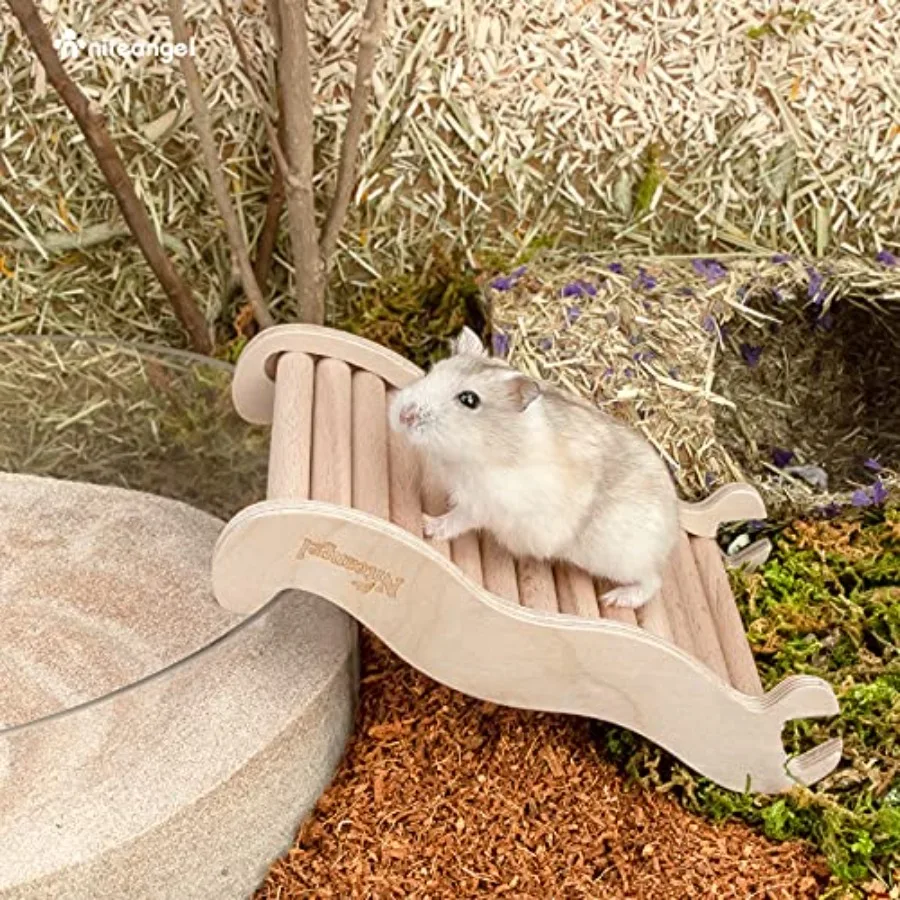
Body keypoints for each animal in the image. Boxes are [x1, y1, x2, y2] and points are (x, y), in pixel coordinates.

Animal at [388, 326, 679, 608]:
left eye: (469, 400)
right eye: (432, 371)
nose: (404, 415)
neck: (484, 448)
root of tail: (671, 531)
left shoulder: (486, 504)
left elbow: (458, 519)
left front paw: (426, 524)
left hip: (620, 558)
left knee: (653, 583)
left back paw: (614, 600)